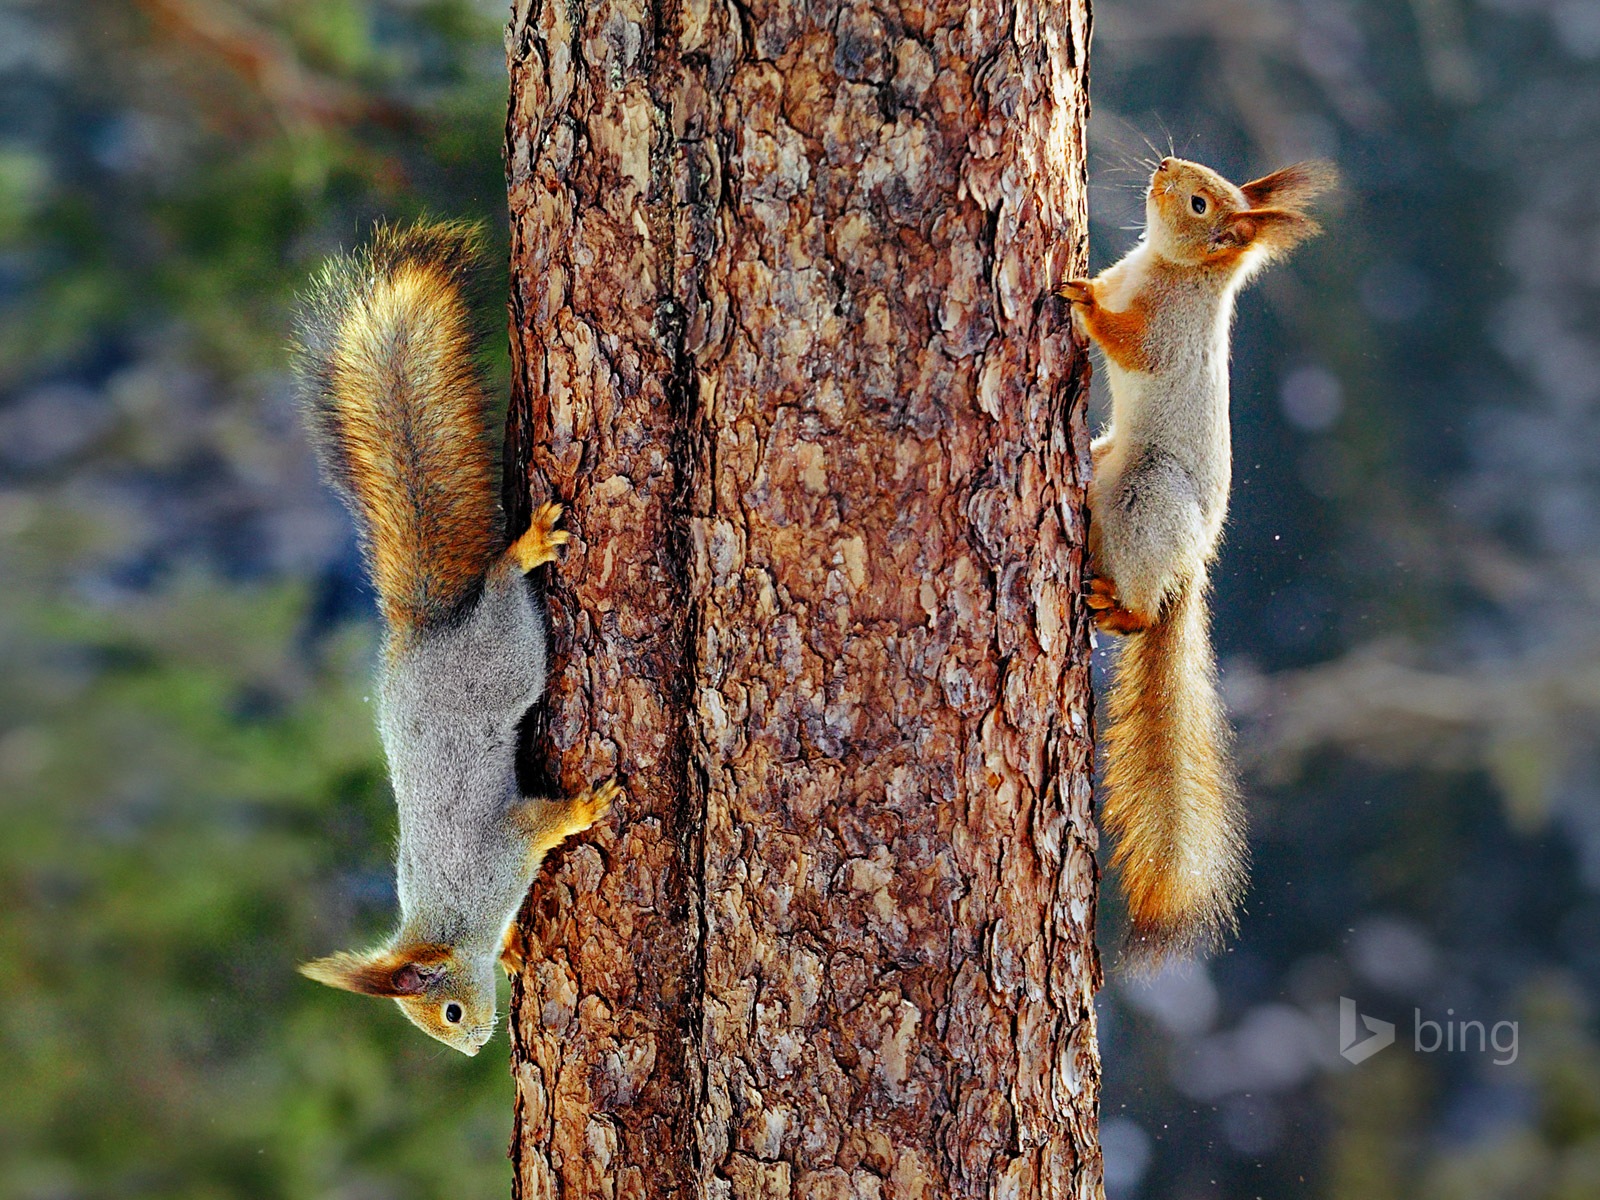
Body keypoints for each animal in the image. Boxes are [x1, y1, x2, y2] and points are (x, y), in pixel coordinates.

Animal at [291, 220, 614, 1056]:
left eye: (449, 1015)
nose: (472, 1048)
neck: (452, 919)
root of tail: (428, 634)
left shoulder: (499, 853)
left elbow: (540, 824)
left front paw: (584, 808)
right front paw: (515, 948)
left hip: (505, 656)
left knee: (501, 587)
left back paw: (523, 551)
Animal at [1062, 157, 1337, 966]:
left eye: (1197, 202)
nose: (1163, 165)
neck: (1168, 269)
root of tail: (1190, 567)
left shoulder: (1167, 337)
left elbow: (1129, 345)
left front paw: (1082, 300)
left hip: (1150, 497)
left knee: (1140, 610)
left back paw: (1120, 607)